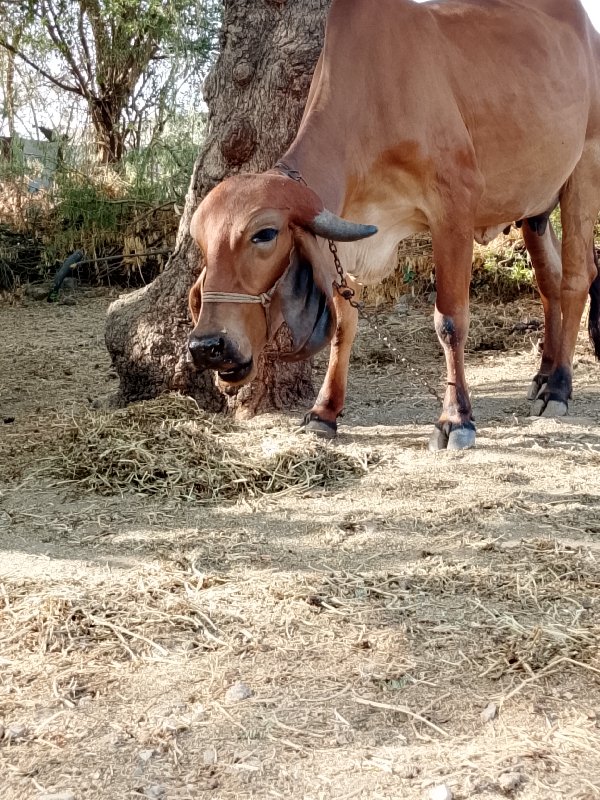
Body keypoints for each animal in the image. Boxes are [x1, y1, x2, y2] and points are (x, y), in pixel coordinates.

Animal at [190, 0, 600, 450]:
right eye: (201, 243)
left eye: (264, 234)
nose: (207, 345)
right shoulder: (345, 235)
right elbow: (344, 325)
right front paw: (324, 411)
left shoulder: (454, 206)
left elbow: (450, 321)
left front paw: (456, 419)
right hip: (536, 209)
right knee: (549, 283)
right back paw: (544, 375)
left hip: (584, 168)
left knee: (576, 277)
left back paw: (558, 388)